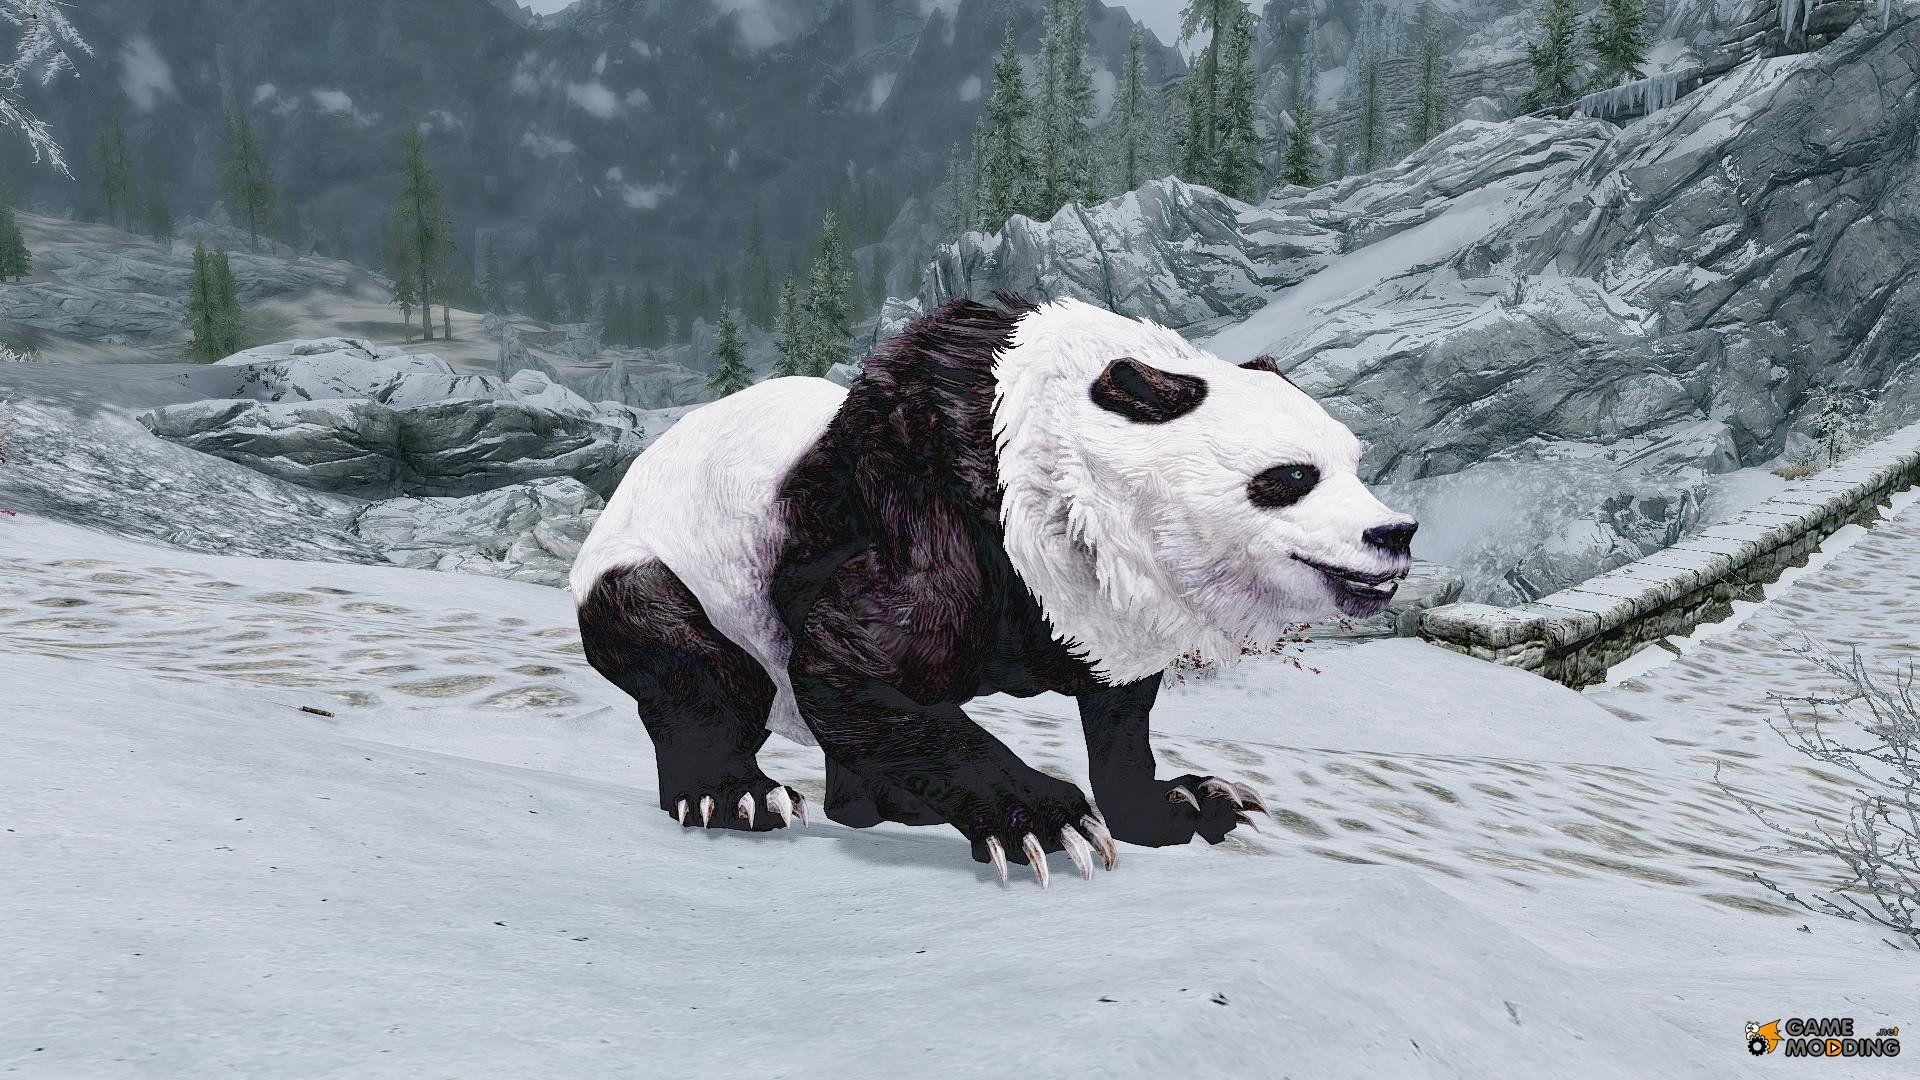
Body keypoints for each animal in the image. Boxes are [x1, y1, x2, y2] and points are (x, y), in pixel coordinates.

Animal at [571, 295, 1417, 886]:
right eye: (1290, 477)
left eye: (1353, 462)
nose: (1396, 533)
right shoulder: (927, 500)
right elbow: (850, 664)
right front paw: (1043, 822)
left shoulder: (1098, 606)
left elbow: (1121, 712)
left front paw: (1190, 802)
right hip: (660, 568)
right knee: (702, 670)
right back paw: (736, 798)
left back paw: (883, 805)